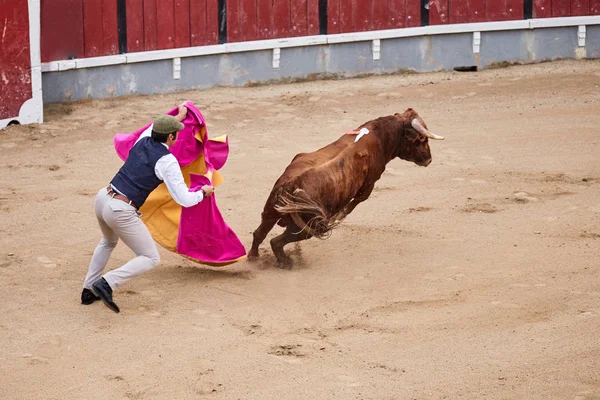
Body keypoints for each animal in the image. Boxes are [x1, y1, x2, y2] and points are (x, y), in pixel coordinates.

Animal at [246, 108, 442, 268]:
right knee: (276, 241)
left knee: (259, 233)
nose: (429, 159)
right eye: (421, 139)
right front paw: (338, 217)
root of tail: (291, 184)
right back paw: (285, 262)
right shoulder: (369, 184)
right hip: (309, 226)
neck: (382, 135)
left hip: (271, 212)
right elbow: (353, 204)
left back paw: (254, 257)